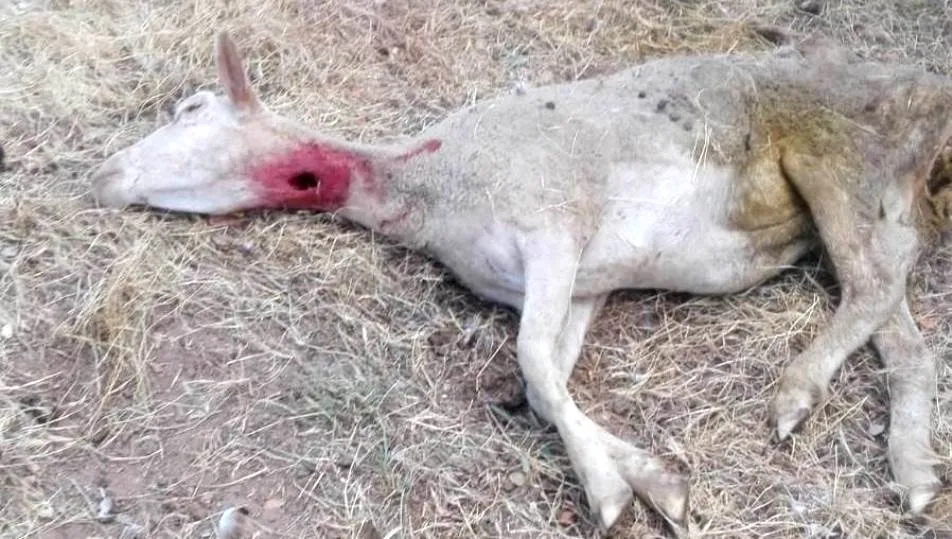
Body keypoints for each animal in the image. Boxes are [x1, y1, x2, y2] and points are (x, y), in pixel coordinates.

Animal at [90, 31, 952, 535]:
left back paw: (796, 393)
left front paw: (609, 493)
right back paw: (914, 474)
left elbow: (534, 366)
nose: (100, 175)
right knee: (903, 330)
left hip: (841, 159)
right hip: (876, 199)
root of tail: (927, 95)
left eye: (191, 107)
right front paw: (654, 481)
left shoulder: (555, 226)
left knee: (874, 283)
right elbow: (545, 384)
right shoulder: (576, 283)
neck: (427, 190)